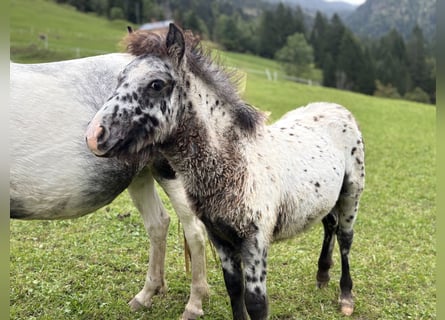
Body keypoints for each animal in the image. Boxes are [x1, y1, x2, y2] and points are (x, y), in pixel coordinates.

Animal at [10, 53, 208, 318]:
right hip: (141, 175)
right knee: (158, 224)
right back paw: (146, 295)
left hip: (171, 173)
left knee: (195, 230)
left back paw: (193, 305)